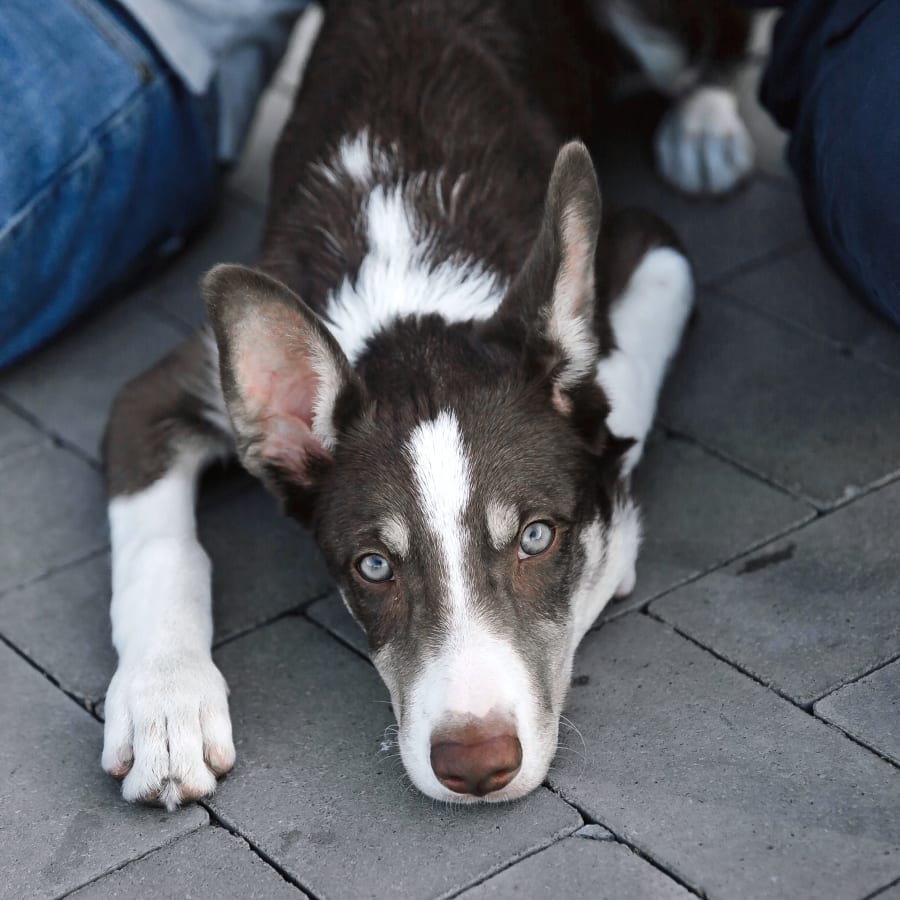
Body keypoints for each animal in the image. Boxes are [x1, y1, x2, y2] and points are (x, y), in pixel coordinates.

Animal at [101, 0, 753, 809]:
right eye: (374, 566)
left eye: (537, 537)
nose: (476, 766)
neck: (408, 268)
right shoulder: (161, 392)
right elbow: (159, 549)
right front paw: (165, 705)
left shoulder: (654, 246)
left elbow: (613, 390)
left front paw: (612, 541)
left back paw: (706, 127)